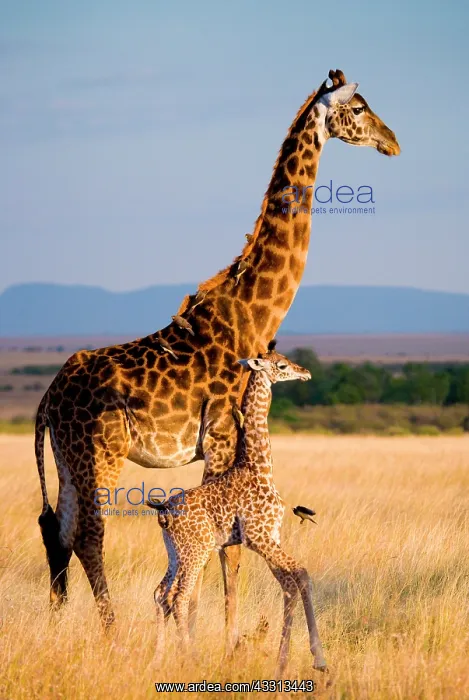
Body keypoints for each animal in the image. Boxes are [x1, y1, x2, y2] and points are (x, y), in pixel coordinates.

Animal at [147, 344, 326, 677]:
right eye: (282, 366)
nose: (306, 372)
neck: (259, 466)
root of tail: (163, 513)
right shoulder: (259, 537)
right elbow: (302, 574)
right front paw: (318, 658)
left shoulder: (271, 538)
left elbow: (290, 584)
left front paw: (285, 663)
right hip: (197, 550)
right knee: (179, 597)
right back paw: (189, 658)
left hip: (175, 552)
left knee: (160, 594)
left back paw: (158, 658)